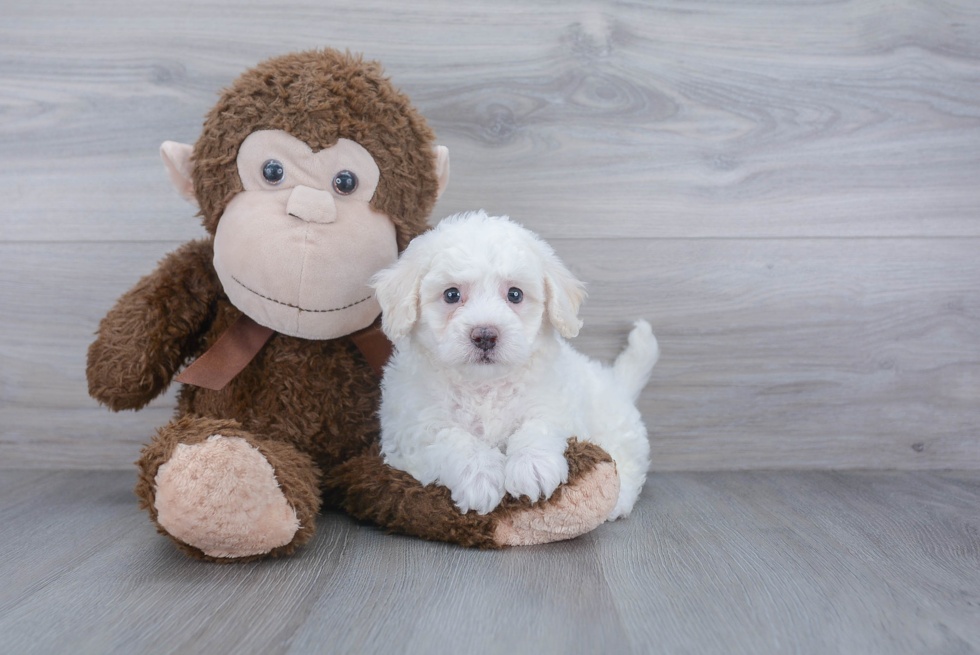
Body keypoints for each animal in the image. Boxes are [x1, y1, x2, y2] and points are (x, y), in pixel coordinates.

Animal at [372, 213, 664, 520]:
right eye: (451, 295)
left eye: (514, 294)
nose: (485, 335)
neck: (483, 386)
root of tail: (617, 382)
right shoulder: (410, 432)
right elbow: (451, 438)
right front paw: (479, 475)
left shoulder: (556, 405)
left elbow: (538, 425)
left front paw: (533, 466)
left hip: (618, 431)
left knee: (628, 464)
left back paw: (617, 500)